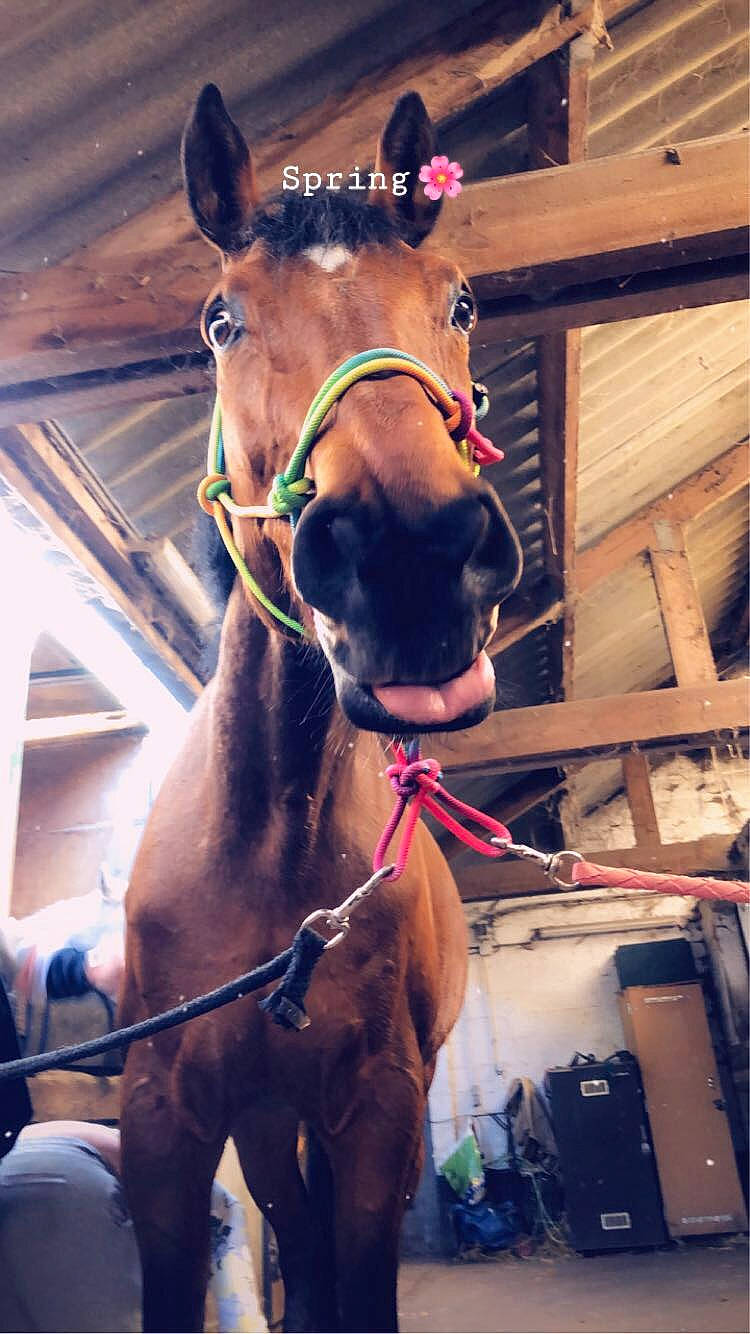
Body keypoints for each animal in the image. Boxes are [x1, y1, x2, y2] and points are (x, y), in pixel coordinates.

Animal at [119, 85, 522, 1334]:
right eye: (220, 321)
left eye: (461, 300)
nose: (411, 555)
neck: (266, 844)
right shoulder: (165, 1120)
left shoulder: (379, 1104)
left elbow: (360, 1275)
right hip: (261, 1119)